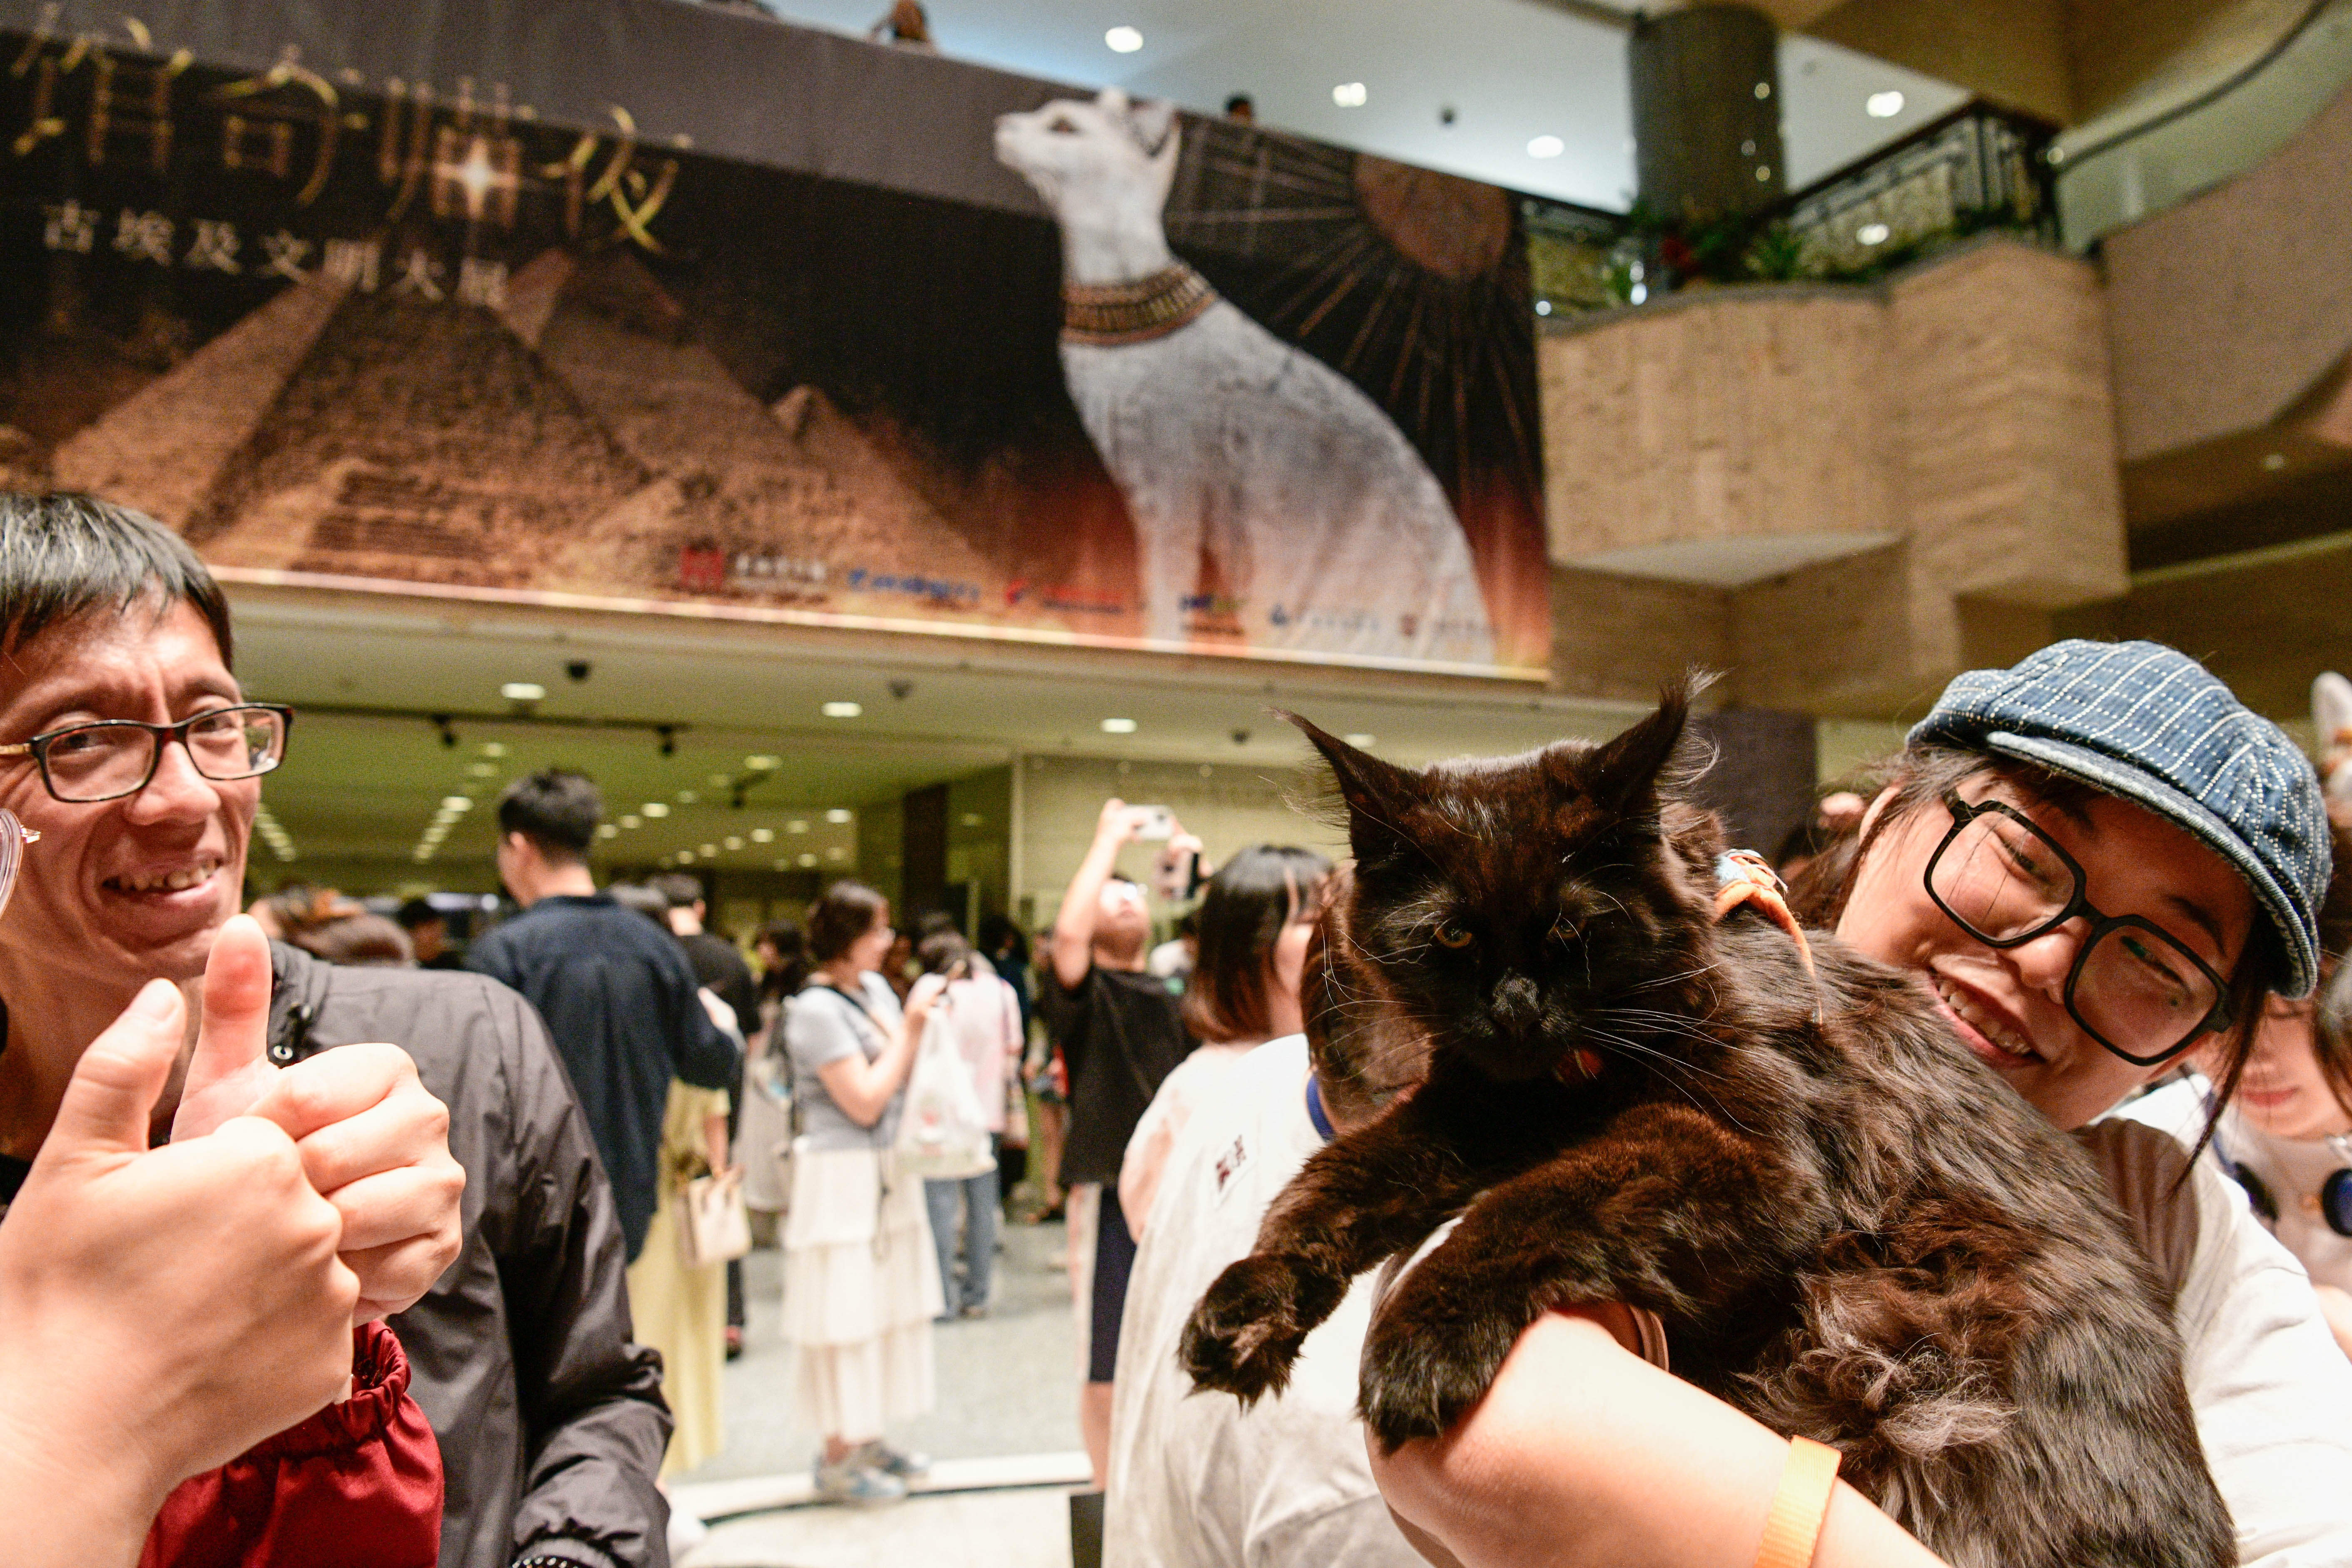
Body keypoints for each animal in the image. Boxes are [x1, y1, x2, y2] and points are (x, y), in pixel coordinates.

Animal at [1178, 684, 2234, 1568]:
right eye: (1451, 935)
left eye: (1572, 931)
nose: (1516, 1011)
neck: (1559, 1084)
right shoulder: (1468, 1108)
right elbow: (1330, 1183)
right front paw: (1243, 1306)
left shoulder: (1751, 1153)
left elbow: (1528, 1202)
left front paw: (1420, 1337)